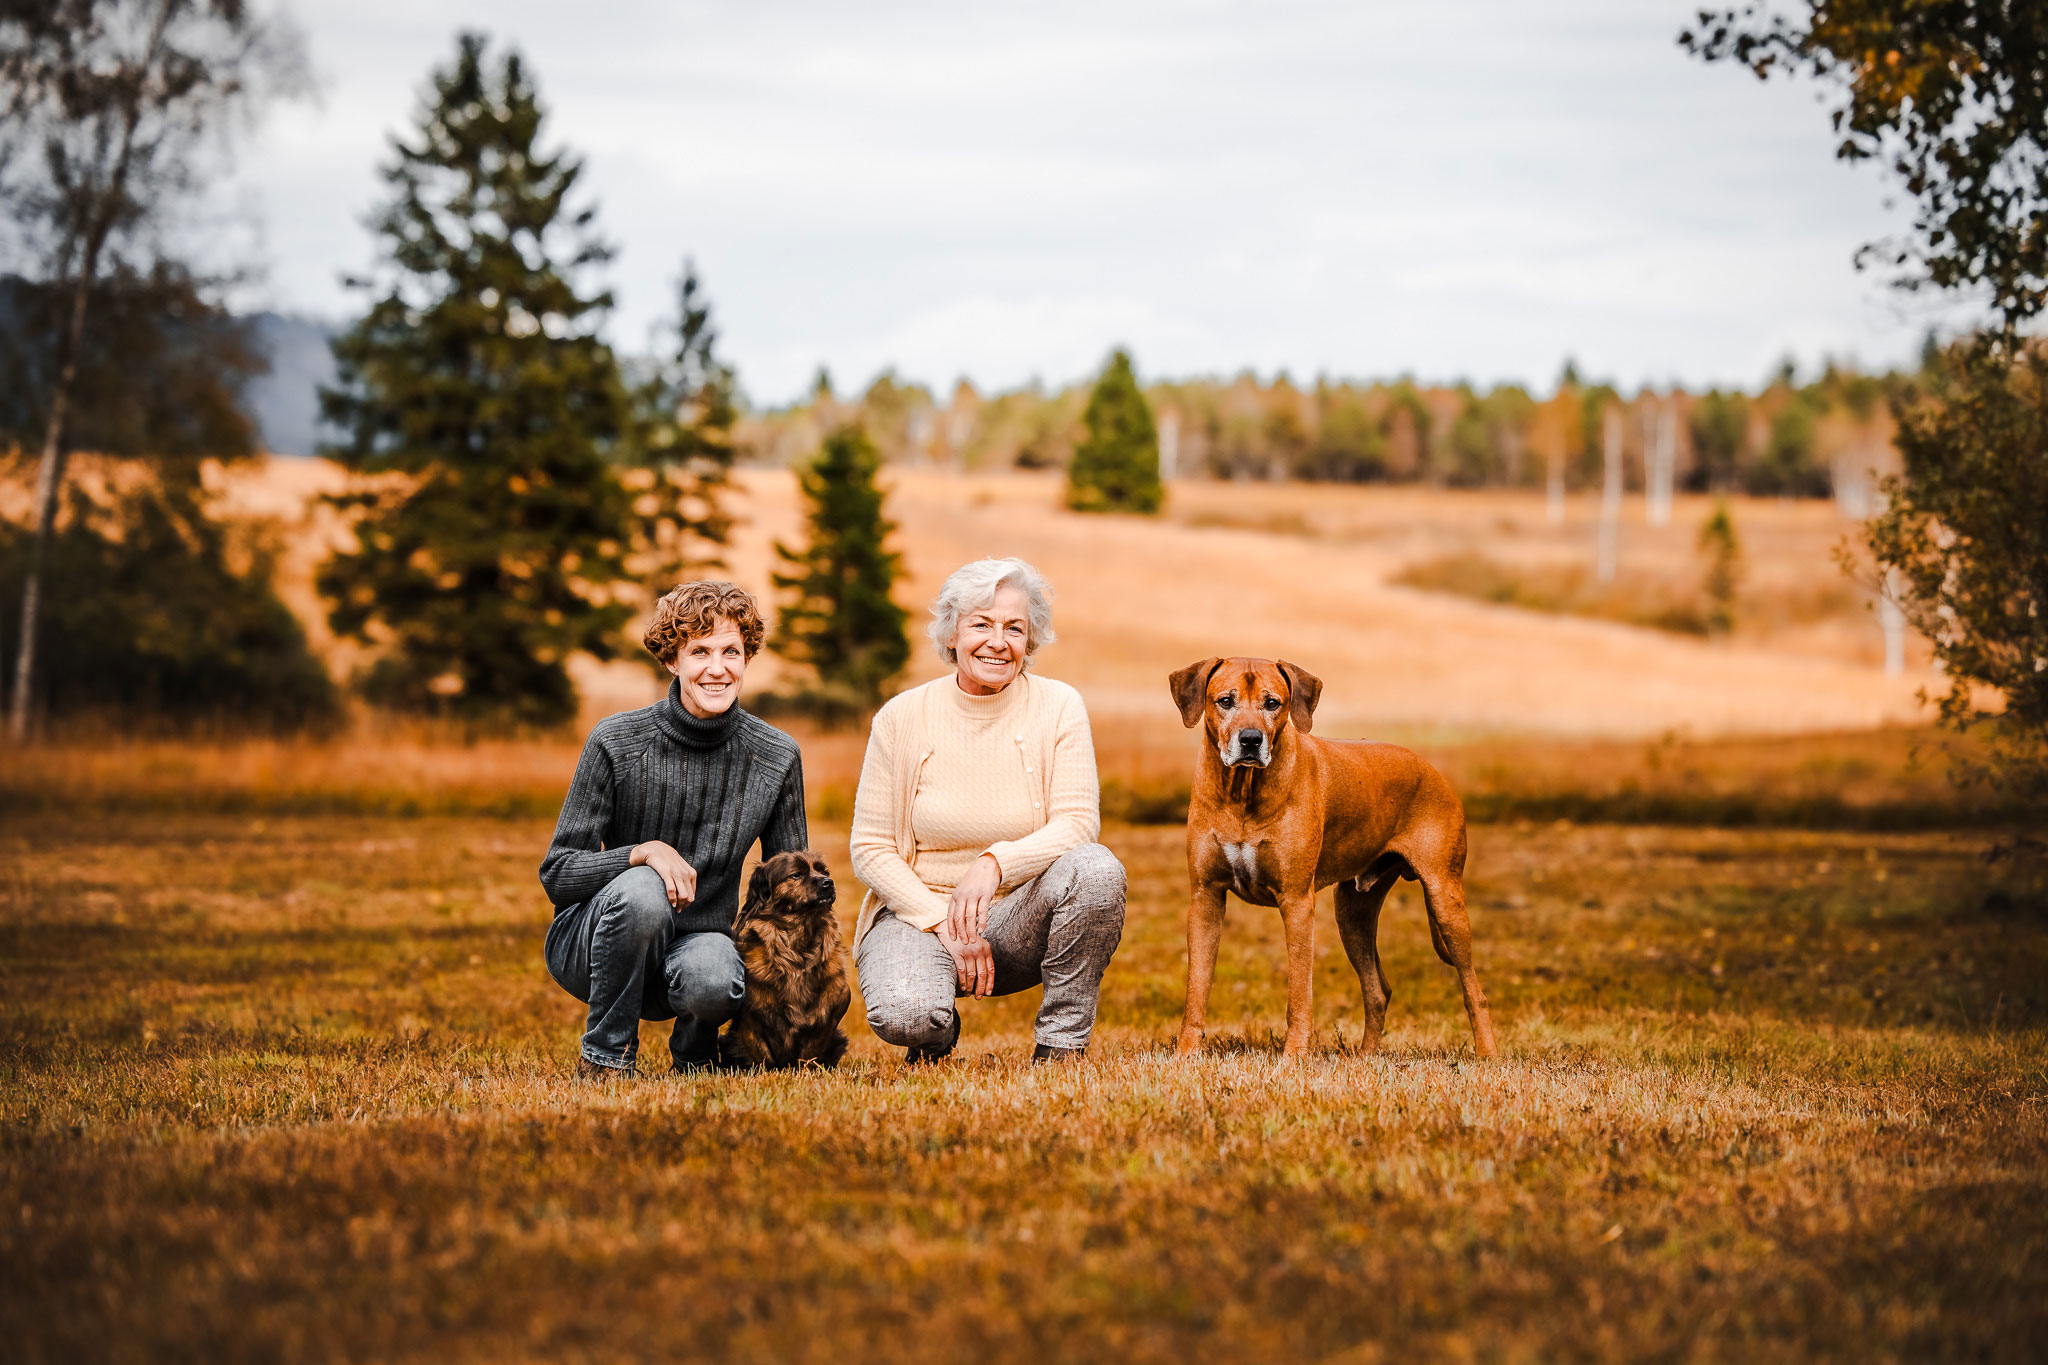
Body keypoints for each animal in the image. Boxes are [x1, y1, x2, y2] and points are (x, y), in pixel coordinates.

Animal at [720, 855, 847, 1064]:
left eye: (824, 872)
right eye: (795, 875)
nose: (828, 882)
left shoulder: (825, 1020)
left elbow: (809, 1055)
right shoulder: (750, 1021)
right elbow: (762, 1056)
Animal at [1171, 654, 1507, 1064]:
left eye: (1272, 703)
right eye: (1225, 701)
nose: (1251, 739)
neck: (1242, 793)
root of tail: (1431, 768)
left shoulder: (1297, 903)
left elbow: (1299, 994)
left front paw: (1294, 1058)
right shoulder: (1205, 897)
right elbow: (1196, 989)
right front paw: (1185, 1056)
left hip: (1446, 900)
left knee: (1474, 990)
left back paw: (1487, 1055)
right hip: (1352, 911)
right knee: (1378, 989)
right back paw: (1366, 1058)